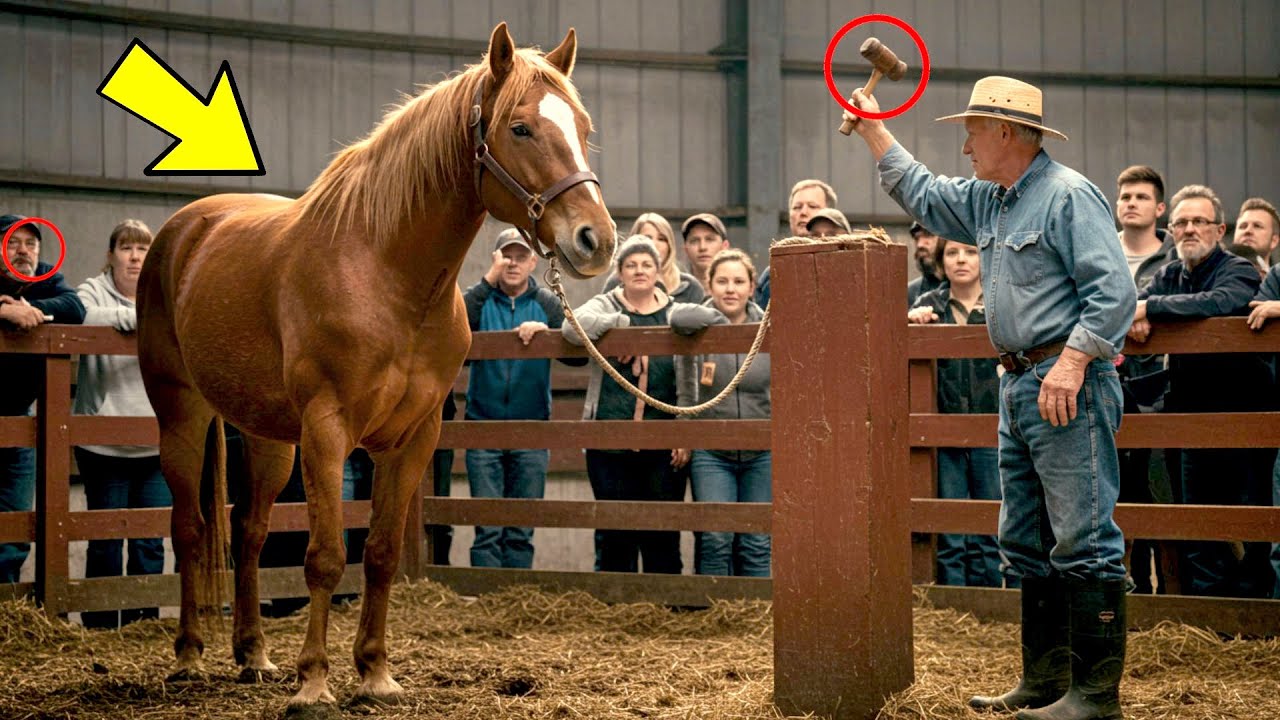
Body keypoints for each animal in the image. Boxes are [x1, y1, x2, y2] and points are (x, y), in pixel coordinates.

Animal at [136, 23, 614, 717]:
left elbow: (382, 554)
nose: (595, 241)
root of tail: (183, 230)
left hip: (268, 437)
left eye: (581, 126)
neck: (385, 273)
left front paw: (375, 673)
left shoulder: (413, 437)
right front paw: (314, 683)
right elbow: (326, 557)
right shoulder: (328, 430)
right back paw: (190, 658)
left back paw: (253, 655)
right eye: (521, 127)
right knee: (192, 530)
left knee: (249, 531)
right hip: (182, 414)